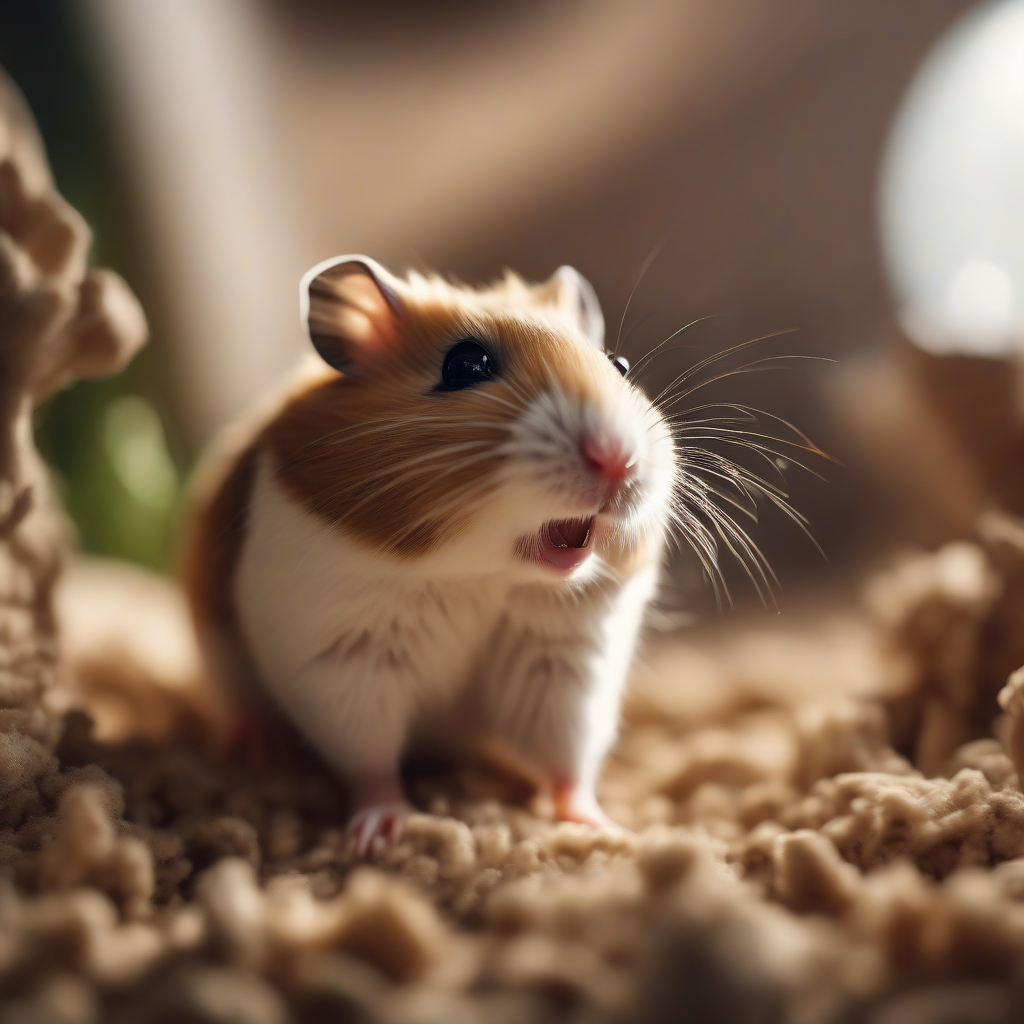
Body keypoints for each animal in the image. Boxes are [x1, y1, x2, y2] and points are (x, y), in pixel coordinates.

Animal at [183, 255, 676, 856]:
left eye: (619, 365)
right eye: (465, 364)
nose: (617, 461)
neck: (481, 573)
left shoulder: (567, 662)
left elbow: (567, 760)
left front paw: (610, 831)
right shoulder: (346, 658)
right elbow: (370, 760)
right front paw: (376, 836)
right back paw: (256, 747)